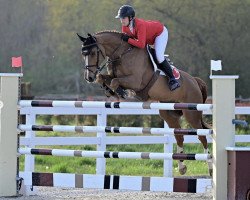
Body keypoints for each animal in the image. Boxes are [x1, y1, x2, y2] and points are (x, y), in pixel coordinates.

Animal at [77, 30, 212, 176]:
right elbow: (103, 78)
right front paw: (109, 90)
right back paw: (182, 167)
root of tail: (195, 81)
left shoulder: (136, 81)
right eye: (83, 54)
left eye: (93, 53)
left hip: (191, 113)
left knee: (202, 136)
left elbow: (114, 81)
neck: (122, 53)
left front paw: (122, 92)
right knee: (179, 135)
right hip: (168, 113)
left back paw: (210, 168)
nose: (88, 77)